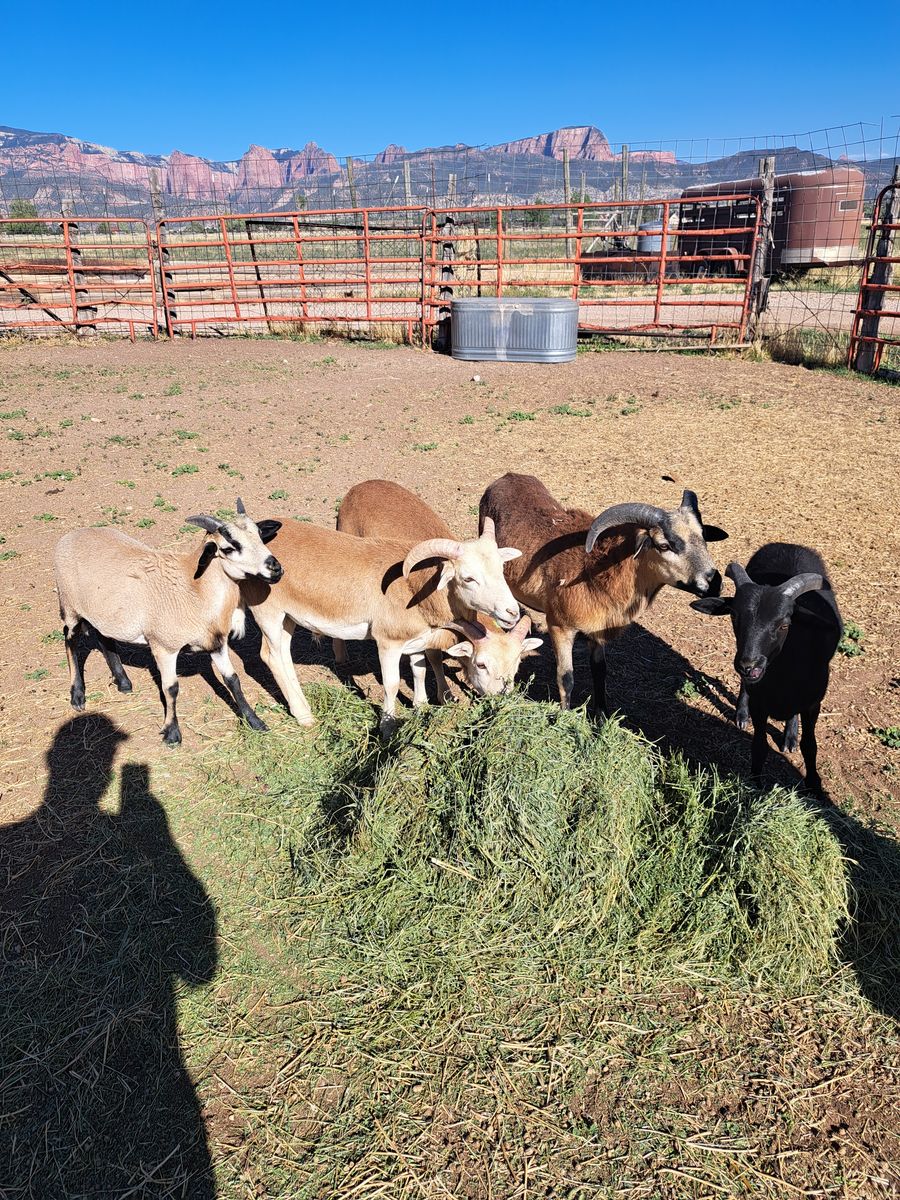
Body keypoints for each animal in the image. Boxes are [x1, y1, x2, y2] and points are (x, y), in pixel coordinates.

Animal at [54, 499, 283, 745]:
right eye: (229, 548)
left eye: (259, 535)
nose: (276, 568)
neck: (195, 589)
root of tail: (72, 535)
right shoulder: (164, 646)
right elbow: (171, 688)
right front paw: (172, 732)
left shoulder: (216, 642)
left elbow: (233, 680)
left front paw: (256, 722)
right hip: (70, 604)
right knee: (70, 639)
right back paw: (77, 695)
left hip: (105, 611)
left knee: (104, 636)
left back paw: (123, 682)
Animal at [240, 512, 524, 734]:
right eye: (468, 578)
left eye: (501, 569)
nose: (511, 611)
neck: (414, 588)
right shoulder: (387, 642)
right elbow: (392, 684)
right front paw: (388, 726)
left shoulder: (416, 639)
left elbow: (419, 670)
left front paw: (421, 707)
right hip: (268, 611)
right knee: (271, 656)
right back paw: (304, 716)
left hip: (288, 617)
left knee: (283, 654)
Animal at [334, 479, 541, 701]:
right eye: (481, 665)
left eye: (517, 663)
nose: (512, 611)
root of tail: (362, 485)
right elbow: (432, 657)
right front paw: (445, 695)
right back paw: (341, 656)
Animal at [479, 472, 728, 715]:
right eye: (664, 545)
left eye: (703, 537)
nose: (714, 581)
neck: (597, 570)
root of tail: (507, 476)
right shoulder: (560, 627)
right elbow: (566, 677)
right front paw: (565, 717)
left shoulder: (598, 629)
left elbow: (599, 672)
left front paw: (601, 715)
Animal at [691, 543, 842, 794]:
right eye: (734, 615)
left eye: (784, 624)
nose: (748, 665)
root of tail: (789, 545)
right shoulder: (759, 702)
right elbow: (759, 746)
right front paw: (755, 785)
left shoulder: (812, 704)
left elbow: (810, 745)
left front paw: (814, 785)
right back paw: (742, 714)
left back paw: (790, 736)